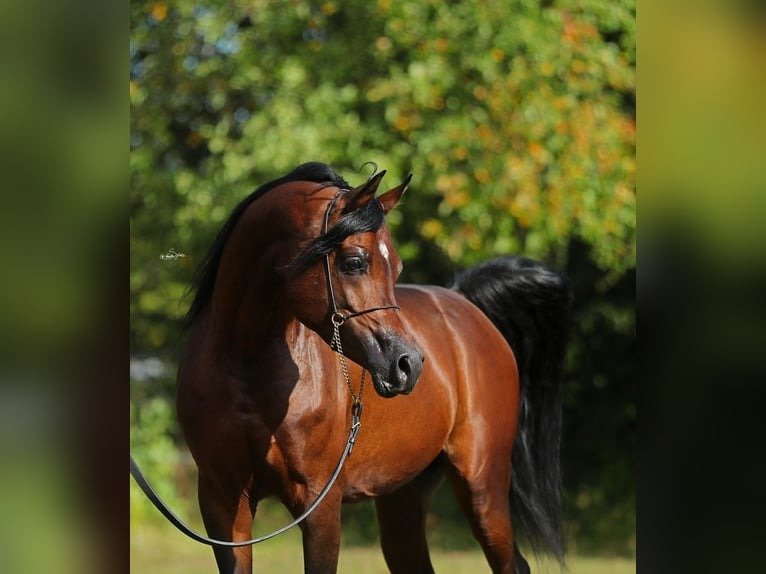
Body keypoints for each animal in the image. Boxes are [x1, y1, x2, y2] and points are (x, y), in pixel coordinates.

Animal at [176, 162, 571, 574]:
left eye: (396, 267)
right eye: (354, 262)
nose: (408, 364)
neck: (248, 369)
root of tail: (464, 304)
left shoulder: (319, 506)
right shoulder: (223, 504)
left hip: (483, 490)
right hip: (404, 498)